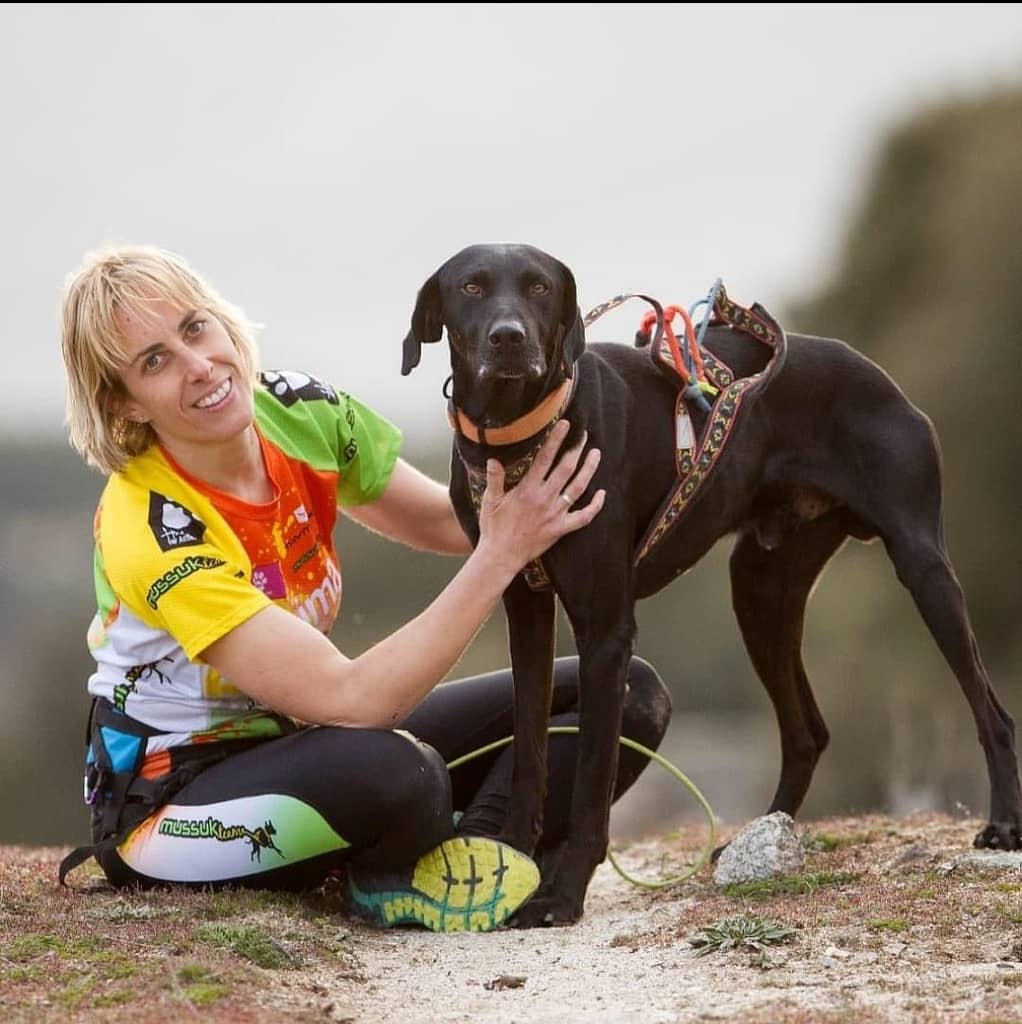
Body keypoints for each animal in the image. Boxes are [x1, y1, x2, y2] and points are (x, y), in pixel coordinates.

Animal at [401, 241, 1022, 929]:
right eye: (472, 287)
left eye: (539, 287)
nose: (509, 339)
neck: (522, 432)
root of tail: (877, 373)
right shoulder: (525, 610)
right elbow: (531, 752)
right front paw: (513, 858)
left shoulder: (606, 632)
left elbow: (591, 781)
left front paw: (561, 896)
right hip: (758, 590)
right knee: (807, 733)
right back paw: (763, 833)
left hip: (922, 566)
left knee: (991, 710)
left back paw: (1002, 824)